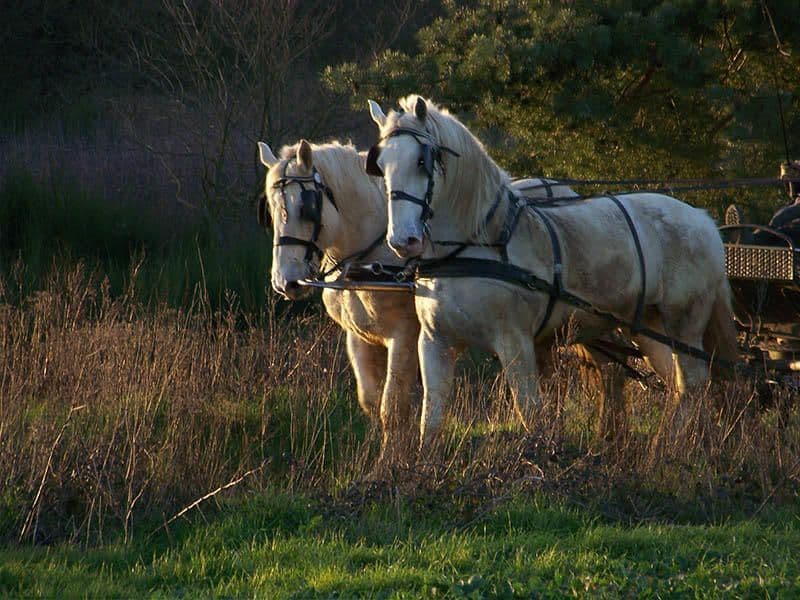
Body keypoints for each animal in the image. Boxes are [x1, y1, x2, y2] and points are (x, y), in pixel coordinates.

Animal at [260, 138, 628, 462]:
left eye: (306, 207)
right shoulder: (358, 337)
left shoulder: (405, 336)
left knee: (610, 371)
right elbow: (372, 401)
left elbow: (393, 405)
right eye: (271, 210)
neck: (372, 259)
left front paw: (391, 462)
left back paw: (610, 437)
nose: (286, 281)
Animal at [368, 96, 736, 448]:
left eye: (421, 162)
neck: (473, 244)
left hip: (684, 324)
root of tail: (703, 219)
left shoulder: (515, 342)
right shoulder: (435, 342)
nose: (403, 240)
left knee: (695, 384)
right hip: (649, 325)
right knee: (680, 384)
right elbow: (431, 420)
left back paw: (664, 448)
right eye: (381, 166)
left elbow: (531, 412)